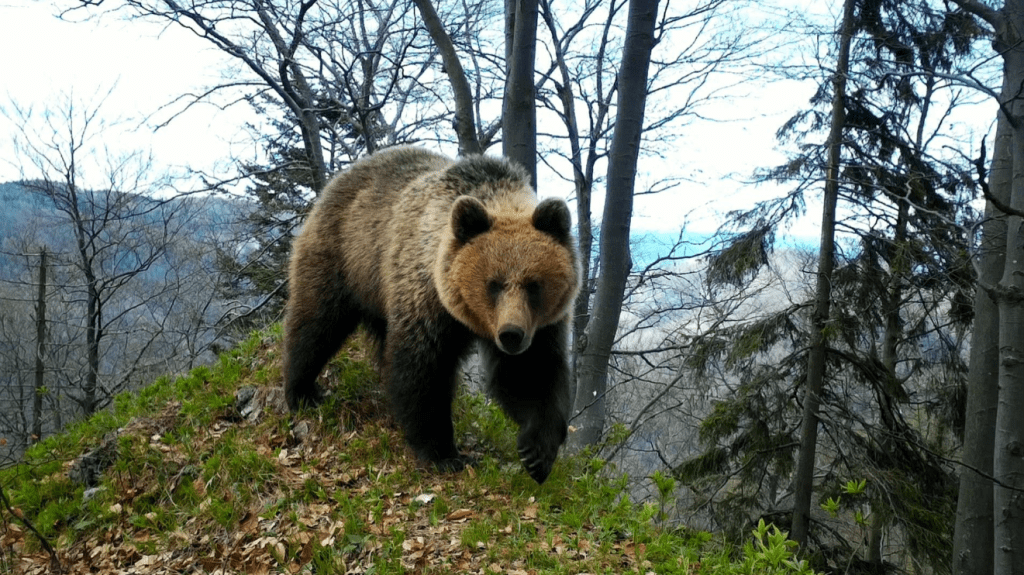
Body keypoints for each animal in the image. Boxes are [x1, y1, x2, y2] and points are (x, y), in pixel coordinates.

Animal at [282, 145, 580, 484]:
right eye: (493, 284)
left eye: (534, 285)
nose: (511, 335)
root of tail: (339, 179)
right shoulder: (426, 299)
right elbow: (423, 372)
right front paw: (444, 454)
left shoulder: (541, 326)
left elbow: (532, 373)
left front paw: (537, 454)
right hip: (347, 255)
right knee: (316, 323)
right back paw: (303, 391)